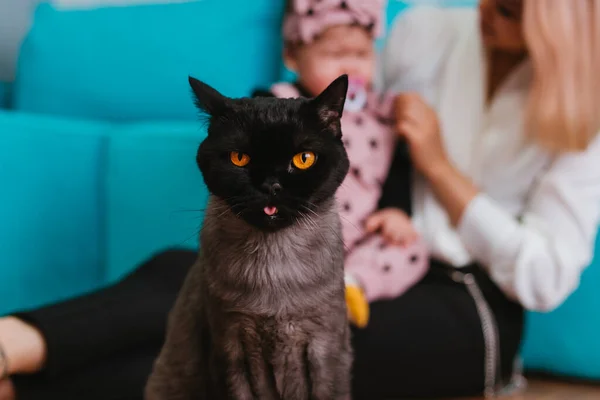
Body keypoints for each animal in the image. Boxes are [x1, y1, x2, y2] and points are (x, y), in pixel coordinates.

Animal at [145, 73, 352, 398]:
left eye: (304, 159)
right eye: (239, 158)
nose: (271, 185)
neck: (276, 273)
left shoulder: (324, 352)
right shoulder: (232, 350)